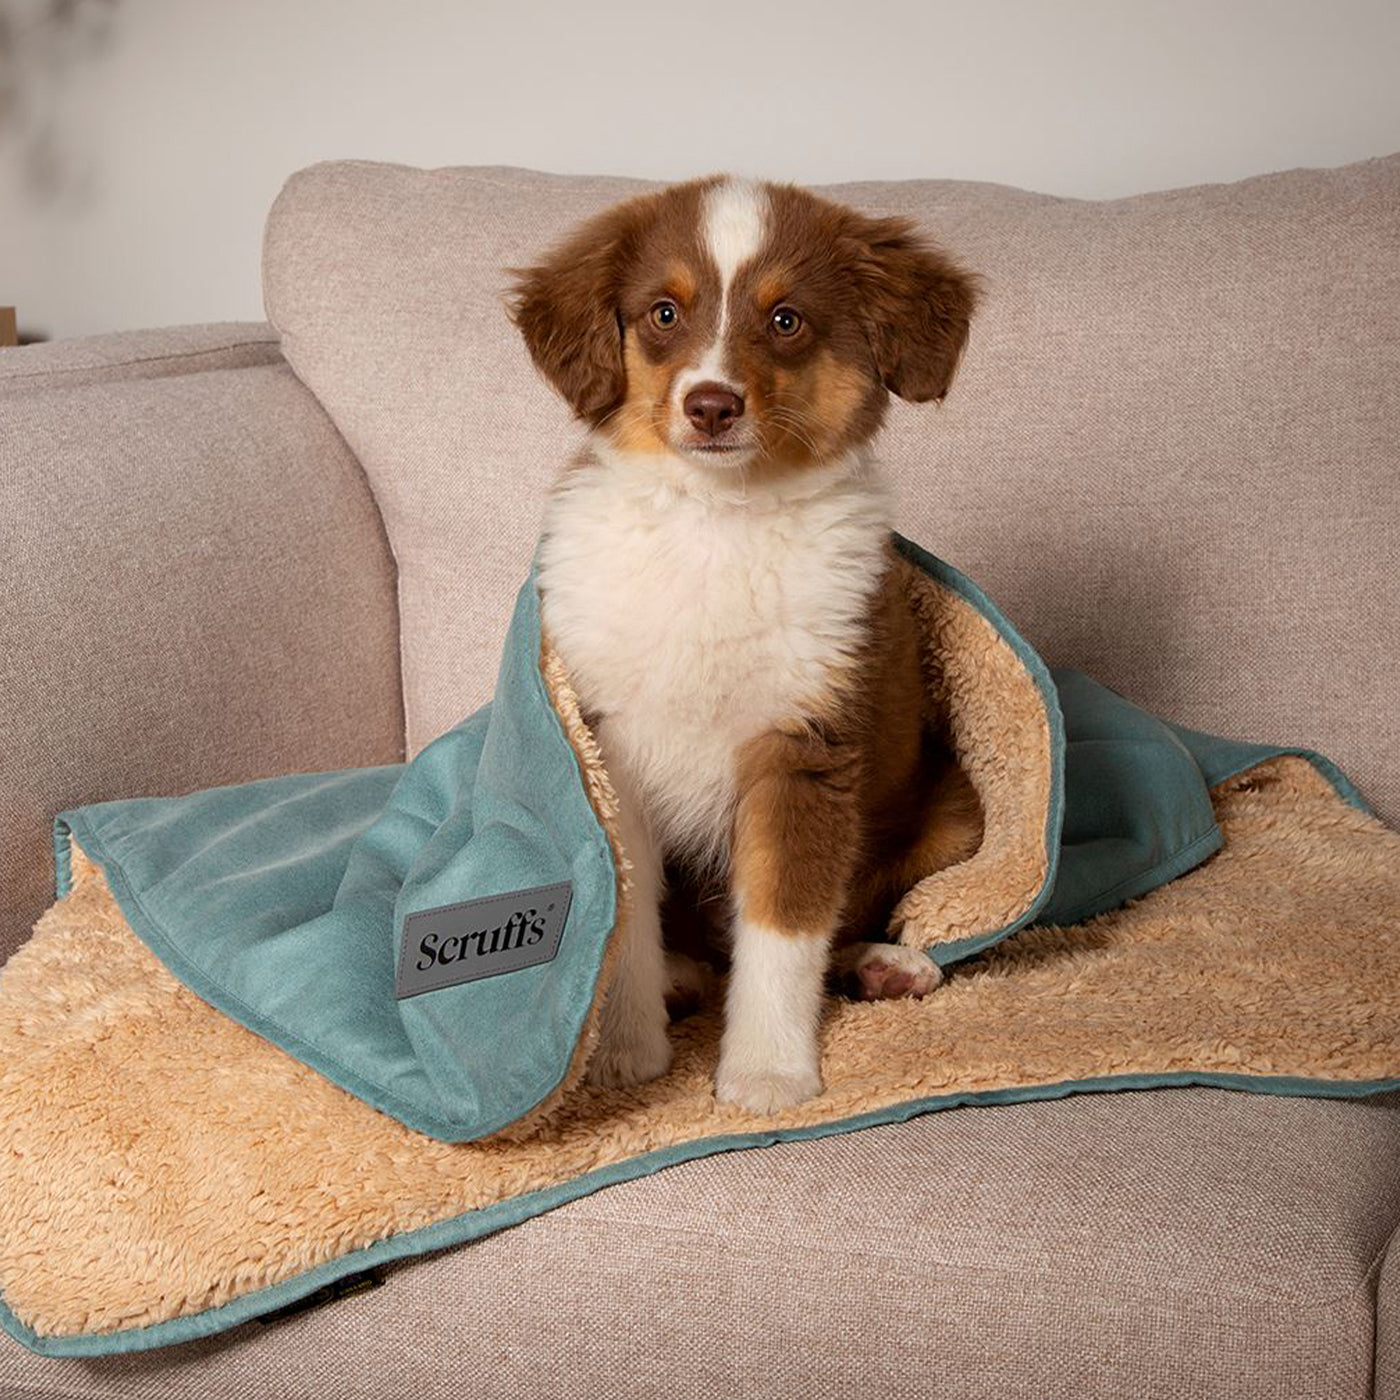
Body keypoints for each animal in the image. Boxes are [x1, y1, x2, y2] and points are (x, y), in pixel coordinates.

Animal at [509, 177, 980, 1114]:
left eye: (786, 320)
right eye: (663, 313)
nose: (711, 405)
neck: (716, 521)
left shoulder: (804, 743)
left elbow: (784, 924)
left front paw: (767, 1071)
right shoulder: (609, 744)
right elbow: (624, 913)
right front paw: (623, 1053)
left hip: (954, 806)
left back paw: (888, 966)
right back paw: (682, 981)